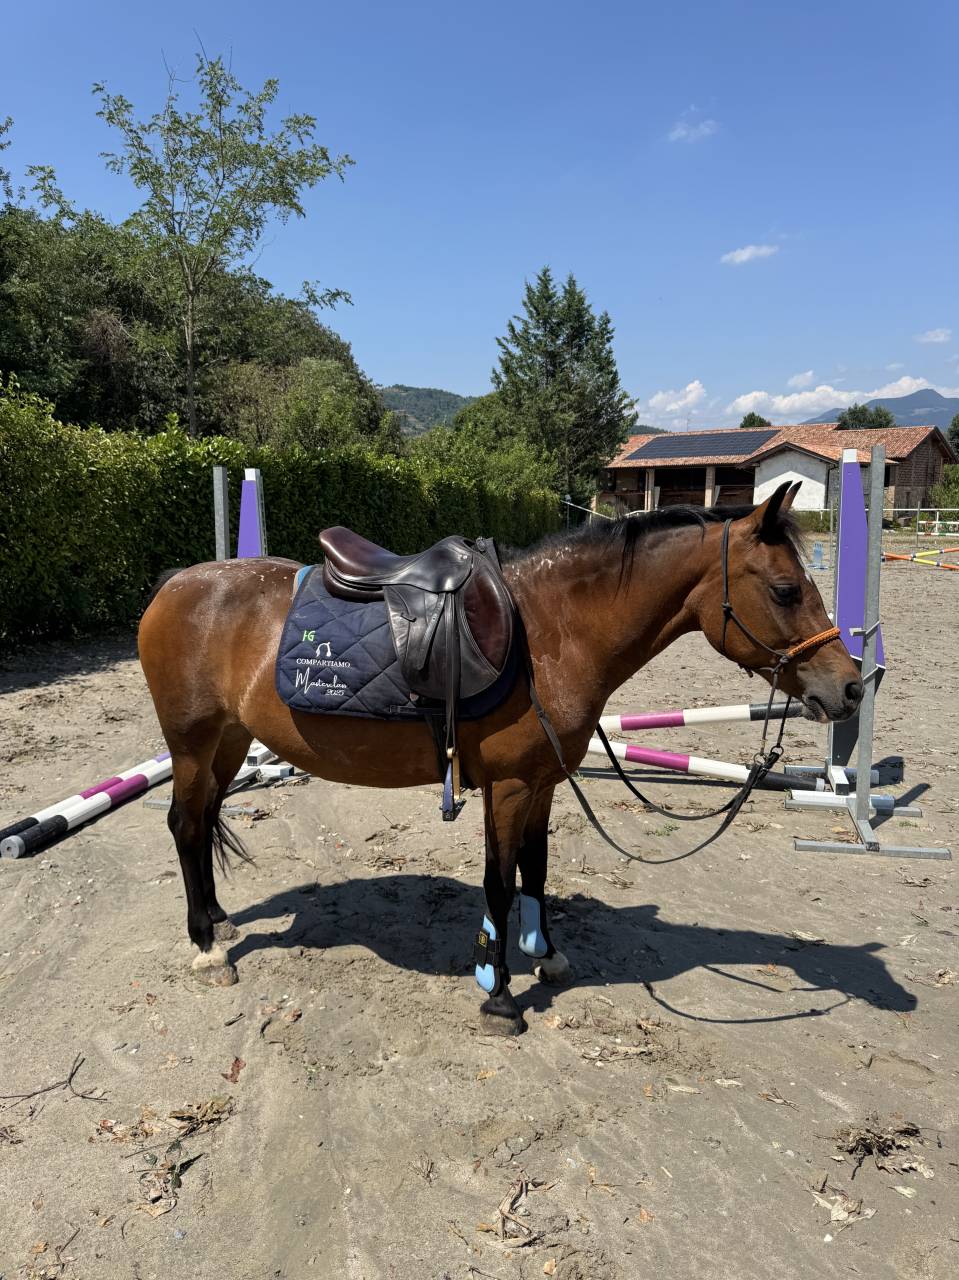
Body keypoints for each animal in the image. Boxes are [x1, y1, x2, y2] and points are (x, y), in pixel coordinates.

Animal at [138, 481, 862, 1035]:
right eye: (785, 591)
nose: (851, 686)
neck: (551, 632)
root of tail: (175, 585)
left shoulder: (542, 781)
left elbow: (534, 871)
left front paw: (545, 954)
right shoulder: (509, 786)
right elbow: (499, 881)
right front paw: (499, 994)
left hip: (230, 742)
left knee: (203, 819)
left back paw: (217, 921)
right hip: (193, 742)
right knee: (183, 824)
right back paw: (205, 947)